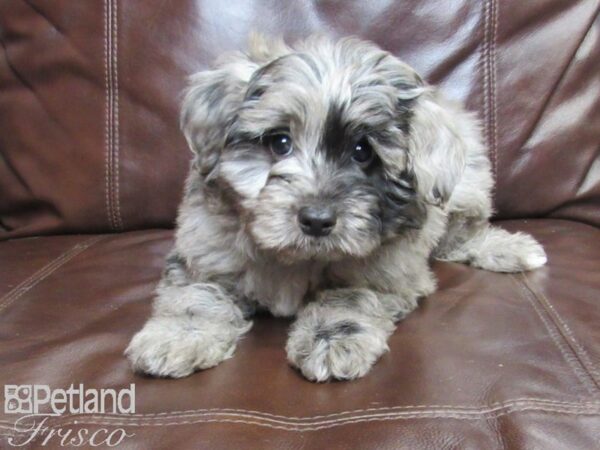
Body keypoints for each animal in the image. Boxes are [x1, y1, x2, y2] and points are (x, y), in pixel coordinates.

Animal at [126, 35, 548, 382]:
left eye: (363, 152)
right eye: (279, 142)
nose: (316, 220)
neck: (295, 258)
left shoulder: (387, 273)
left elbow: (349, 297)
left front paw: (332, 339)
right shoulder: (203, 253)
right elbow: (195, 295)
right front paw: (178, 335)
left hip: (466, 188)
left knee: (462, 235)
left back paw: (510, 249)